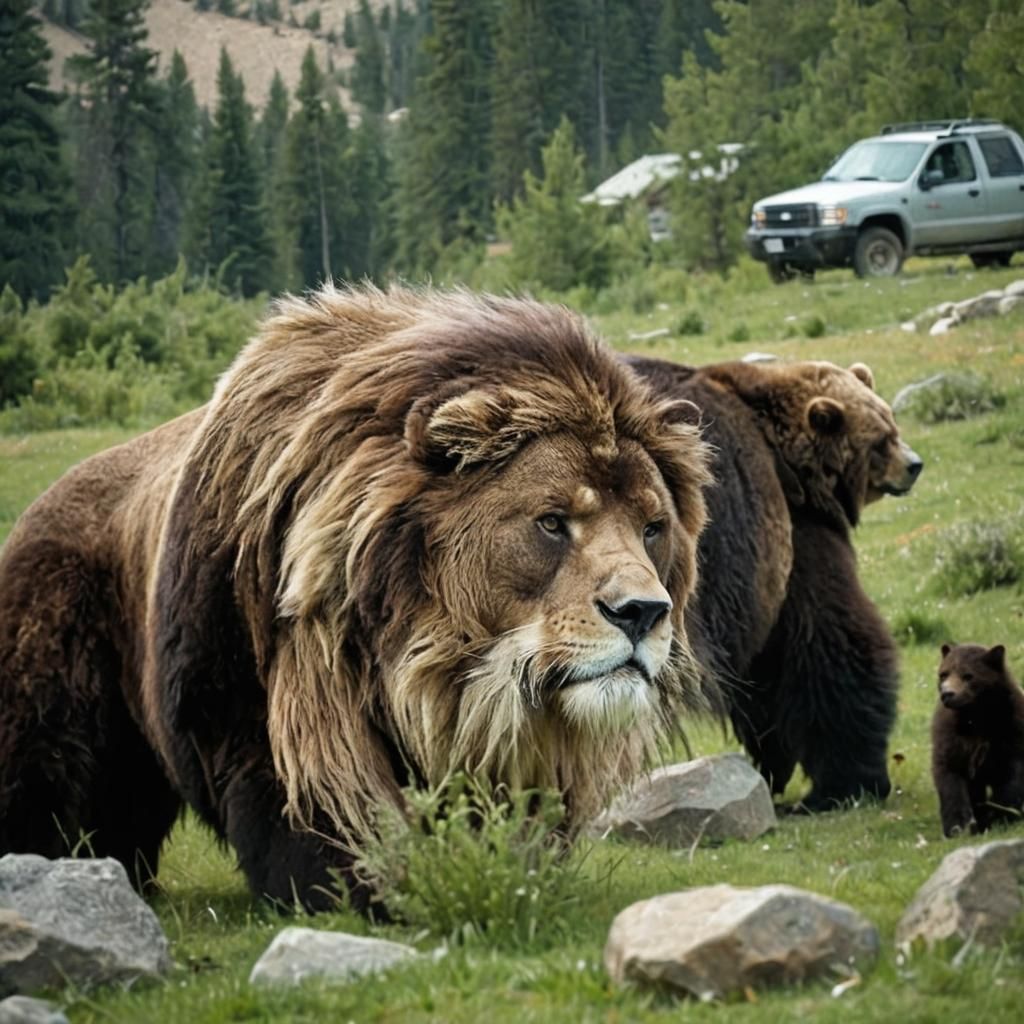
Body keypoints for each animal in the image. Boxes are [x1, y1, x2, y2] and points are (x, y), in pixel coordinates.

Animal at [0, 285, 713, 911]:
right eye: (553, 521)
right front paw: (354, 892)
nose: (642, 613)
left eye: (652, 527)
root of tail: (38, 505)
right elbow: (317, 810)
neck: (436, 678)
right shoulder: (269, 706)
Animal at [626, 355, 923, 811]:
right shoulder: (783, 532)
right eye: (882, 440)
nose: (914, 464)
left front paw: (777, 768)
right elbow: (828, 638)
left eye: (893, 423)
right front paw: (846, 782)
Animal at [931, 642, 1024, 837]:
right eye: (944, 673)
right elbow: (950, 778)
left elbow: (1013, 778)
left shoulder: (1012, 732)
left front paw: (1000, 817)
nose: (947, 694)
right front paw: (958, 826)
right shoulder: (953, 740)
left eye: (968, 675)